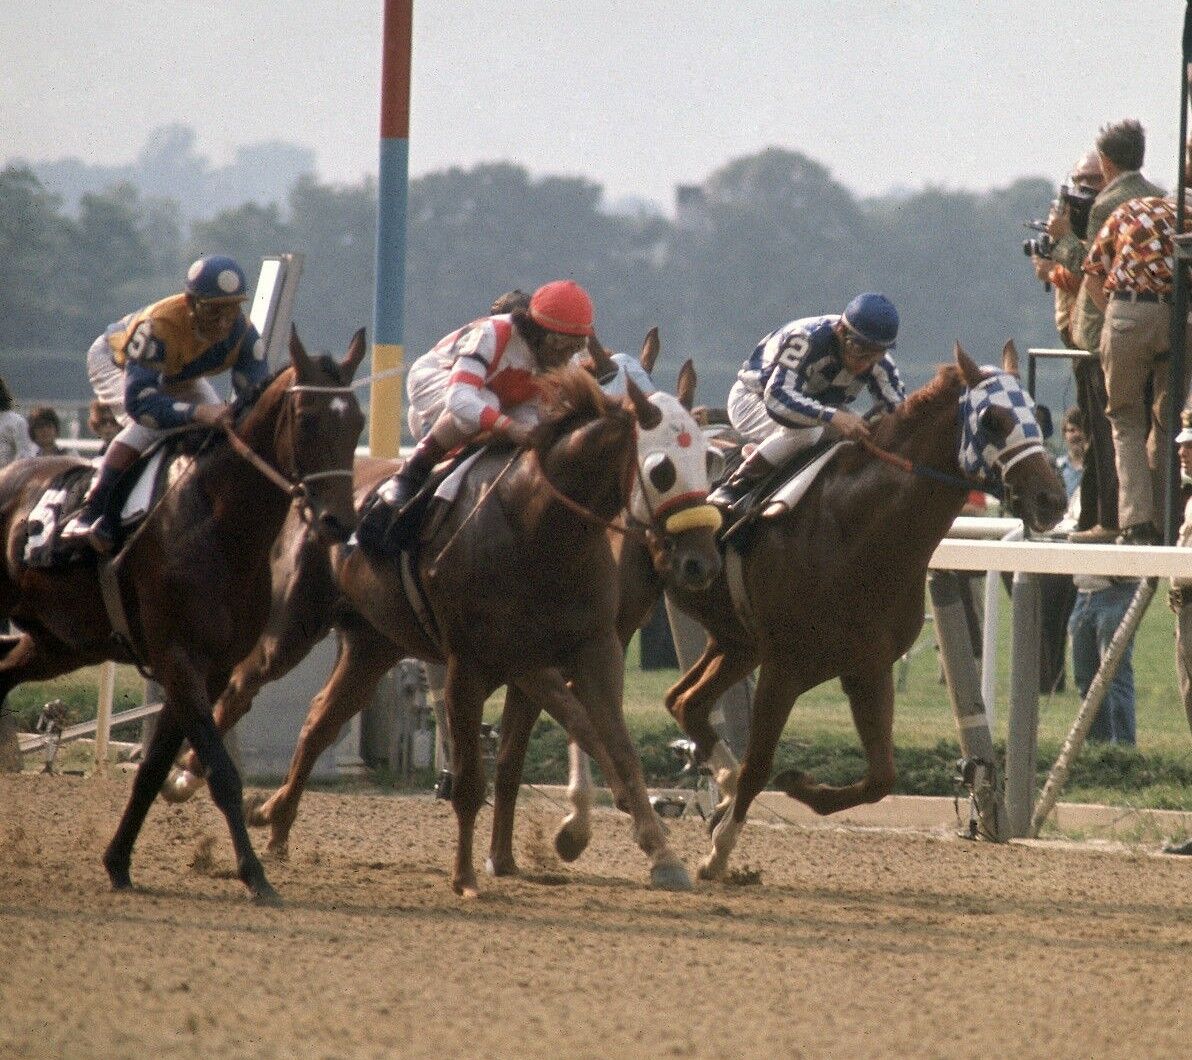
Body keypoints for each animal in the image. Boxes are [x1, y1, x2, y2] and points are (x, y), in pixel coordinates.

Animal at [0, 326, 364, 896]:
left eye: (358, 424)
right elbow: (221, 772)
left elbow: (152, 770)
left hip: (59, 645)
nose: (337, 522)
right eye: (306, 418)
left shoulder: (207, 670)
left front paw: (118, 862)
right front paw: (254, 875)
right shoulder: (180, 660)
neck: (218, 522)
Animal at [667, 343, 1068, 882]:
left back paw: (722, 784)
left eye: (1037, 417)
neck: (856, 528)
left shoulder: (867, 666)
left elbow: (881, 777)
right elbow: (758, 765)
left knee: (684, 702)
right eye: (993, 419)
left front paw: (796, 785)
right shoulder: (785, 666)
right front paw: (719, 852)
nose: (1053, 499)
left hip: (736, 641)